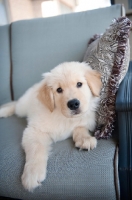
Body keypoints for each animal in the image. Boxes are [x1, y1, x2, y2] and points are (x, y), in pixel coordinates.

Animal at [0, 61, 102, 191]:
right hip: (22, 107)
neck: (63, 117)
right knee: (15, 105)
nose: (73, 104)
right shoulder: (35, 131)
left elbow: (80, 127)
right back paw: (3, 111)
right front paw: (32, 173)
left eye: (79, 84)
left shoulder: (85, 119)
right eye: (59, 90)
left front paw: (85, 139)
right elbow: (36, 149)